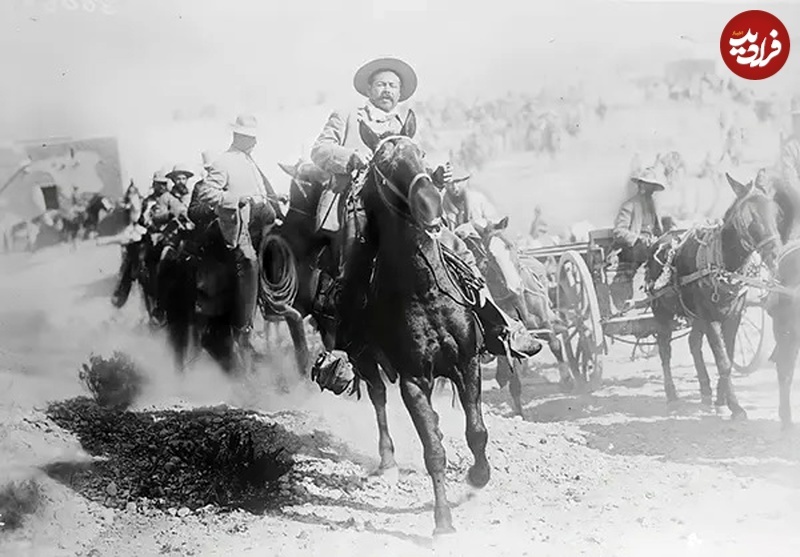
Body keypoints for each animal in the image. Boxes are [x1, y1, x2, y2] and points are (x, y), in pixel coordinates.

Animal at [332, 109, 494, 536]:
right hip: (366, 362)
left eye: (420, 153)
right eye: (385, 166)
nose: (430, 202)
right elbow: (432, 449)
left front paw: (478, 477)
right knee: (378, 399)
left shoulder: (467, 362)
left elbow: (476, 432)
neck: (424, 291)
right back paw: (387, 462)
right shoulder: (413, 380)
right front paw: (442, 522)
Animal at [644, 174, 780, 416]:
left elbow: (729, 356)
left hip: (695, 316)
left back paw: (705, 391)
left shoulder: (733, 317)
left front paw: (721, 399)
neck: (723, 263)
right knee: (665, 349)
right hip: (662, 312)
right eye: (748, 217)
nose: (774, 255)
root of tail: (661, 239)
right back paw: (672, 395)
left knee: (693, 343)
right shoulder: (711, 319)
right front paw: (735, 406)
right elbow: (722, 360)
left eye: (775, 212)